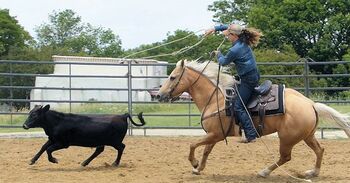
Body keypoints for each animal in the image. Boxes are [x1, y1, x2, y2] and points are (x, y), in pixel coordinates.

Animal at [157, 60, 350, 179]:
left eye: (172, 77)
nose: (159, 95)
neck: (215, 99)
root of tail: (310, 103)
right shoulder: (215, 134)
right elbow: (206, 150)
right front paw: (199, 168)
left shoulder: (216, 134)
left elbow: (193, 145)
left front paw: (195, 163)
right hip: (307, 136)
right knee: (320, 150)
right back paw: (312, 173)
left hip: (287, 139)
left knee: (285, 157)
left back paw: (264, 172)